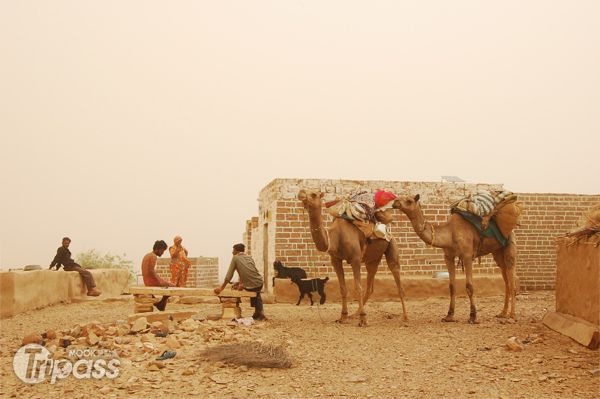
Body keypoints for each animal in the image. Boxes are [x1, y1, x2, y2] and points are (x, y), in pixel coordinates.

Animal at [296, 189, 408, 326]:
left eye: (314, 194)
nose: (301, 193)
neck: (335, 237)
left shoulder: (356, 259)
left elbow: (358, 288)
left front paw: (363, 320)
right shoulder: (335, 260)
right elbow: (343, 288)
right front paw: (343, 316)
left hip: (391, 245)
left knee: (398, 281)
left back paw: (405, 318)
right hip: (372, 259)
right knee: (370, 286)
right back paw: (354, 314)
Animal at [394, 195, 516, 324]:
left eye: (409, 200)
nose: (395, 202)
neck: (450, 233)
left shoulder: (467, 256)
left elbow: (469, 286)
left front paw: (473, 316)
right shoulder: (448, 257)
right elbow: (451, 286)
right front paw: (449, 315)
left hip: (509, 244)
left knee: (511, 278)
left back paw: (512, 316)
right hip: (498, 252)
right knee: (506, 278)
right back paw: (502, 313)